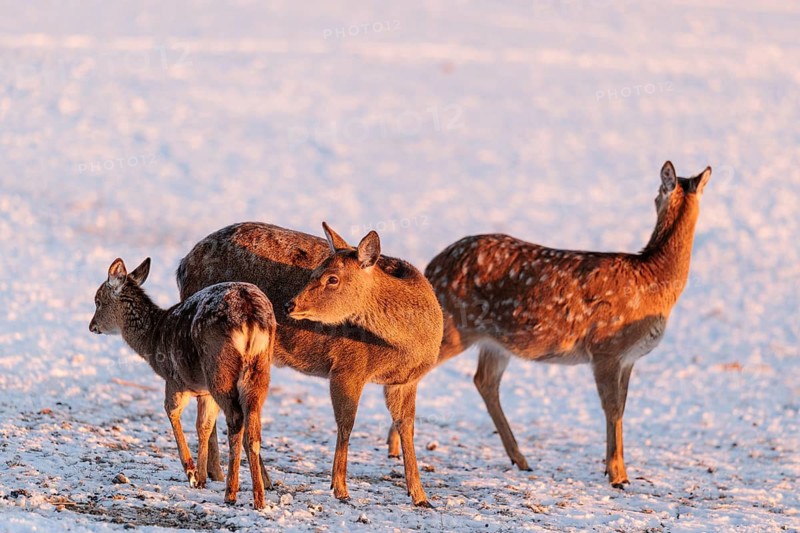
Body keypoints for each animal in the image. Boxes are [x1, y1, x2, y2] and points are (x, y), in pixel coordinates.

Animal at [89, 257, 276, 509]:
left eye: (98, 301)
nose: (92, 326)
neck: (153, 340)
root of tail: (251, 316)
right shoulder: (203, 391)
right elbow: (203, 426)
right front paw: (202, 479)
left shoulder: (175, 381)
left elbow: (172, 413)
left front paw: (191, 473)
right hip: (259, 370)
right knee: (253, 428)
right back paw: (259, 498)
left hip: (218, 368)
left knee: (236, 419)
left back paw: (231, 493)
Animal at [177, 223, 443, 507]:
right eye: (315, 272)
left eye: (332, 278)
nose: (289, 304)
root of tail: (182, 266)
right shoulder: (347, 366)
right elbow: (346, 424)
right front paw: (340, 488)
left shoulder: (405, 381)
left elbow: (407, 427)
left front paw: (420, 496)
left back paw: (219, 474)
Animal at [389, 161, 710, 488]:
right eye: (656, 193)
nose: (654, 199)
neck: (654, 281)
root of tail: (432, 267)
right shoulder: (606, 348)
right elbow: (612, 407)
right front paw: (617, 474)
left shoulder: (628, 357)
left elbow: (622, 406)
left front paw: (618, 471)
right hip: (455, 326)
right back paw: (394, 447)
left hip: (495, 342)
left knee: (484, 381)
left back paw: (519, 458)